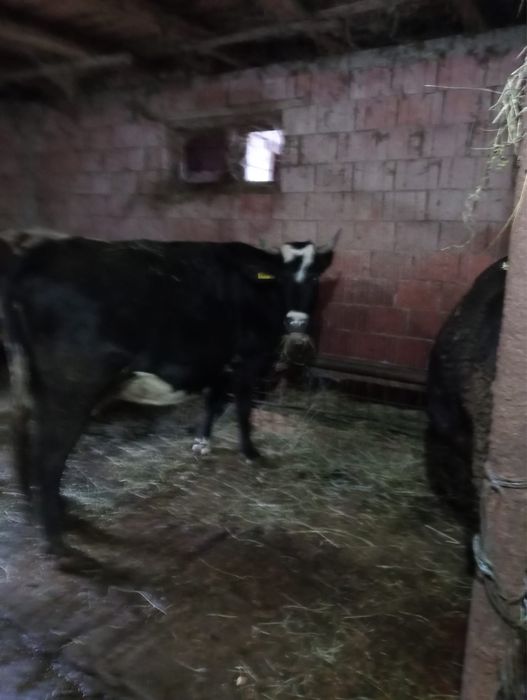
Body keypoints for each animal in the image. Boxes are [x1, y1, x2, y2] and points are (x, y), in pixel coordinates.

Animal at [3, 234, 337, 553]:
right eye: (281, 276)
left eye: (315, 276)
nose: (296, 321)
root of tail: (37, 257)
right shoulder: (249, 360)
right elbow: (243, 407)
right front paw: (250, 452)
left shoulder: (219, 362)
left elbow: (213, 401)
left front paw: (201, 443)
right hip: (73, 389)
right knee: (49, 455)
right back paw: (54, 537)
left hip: (25, 375)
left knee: (21, 435)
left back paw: (33, 506)